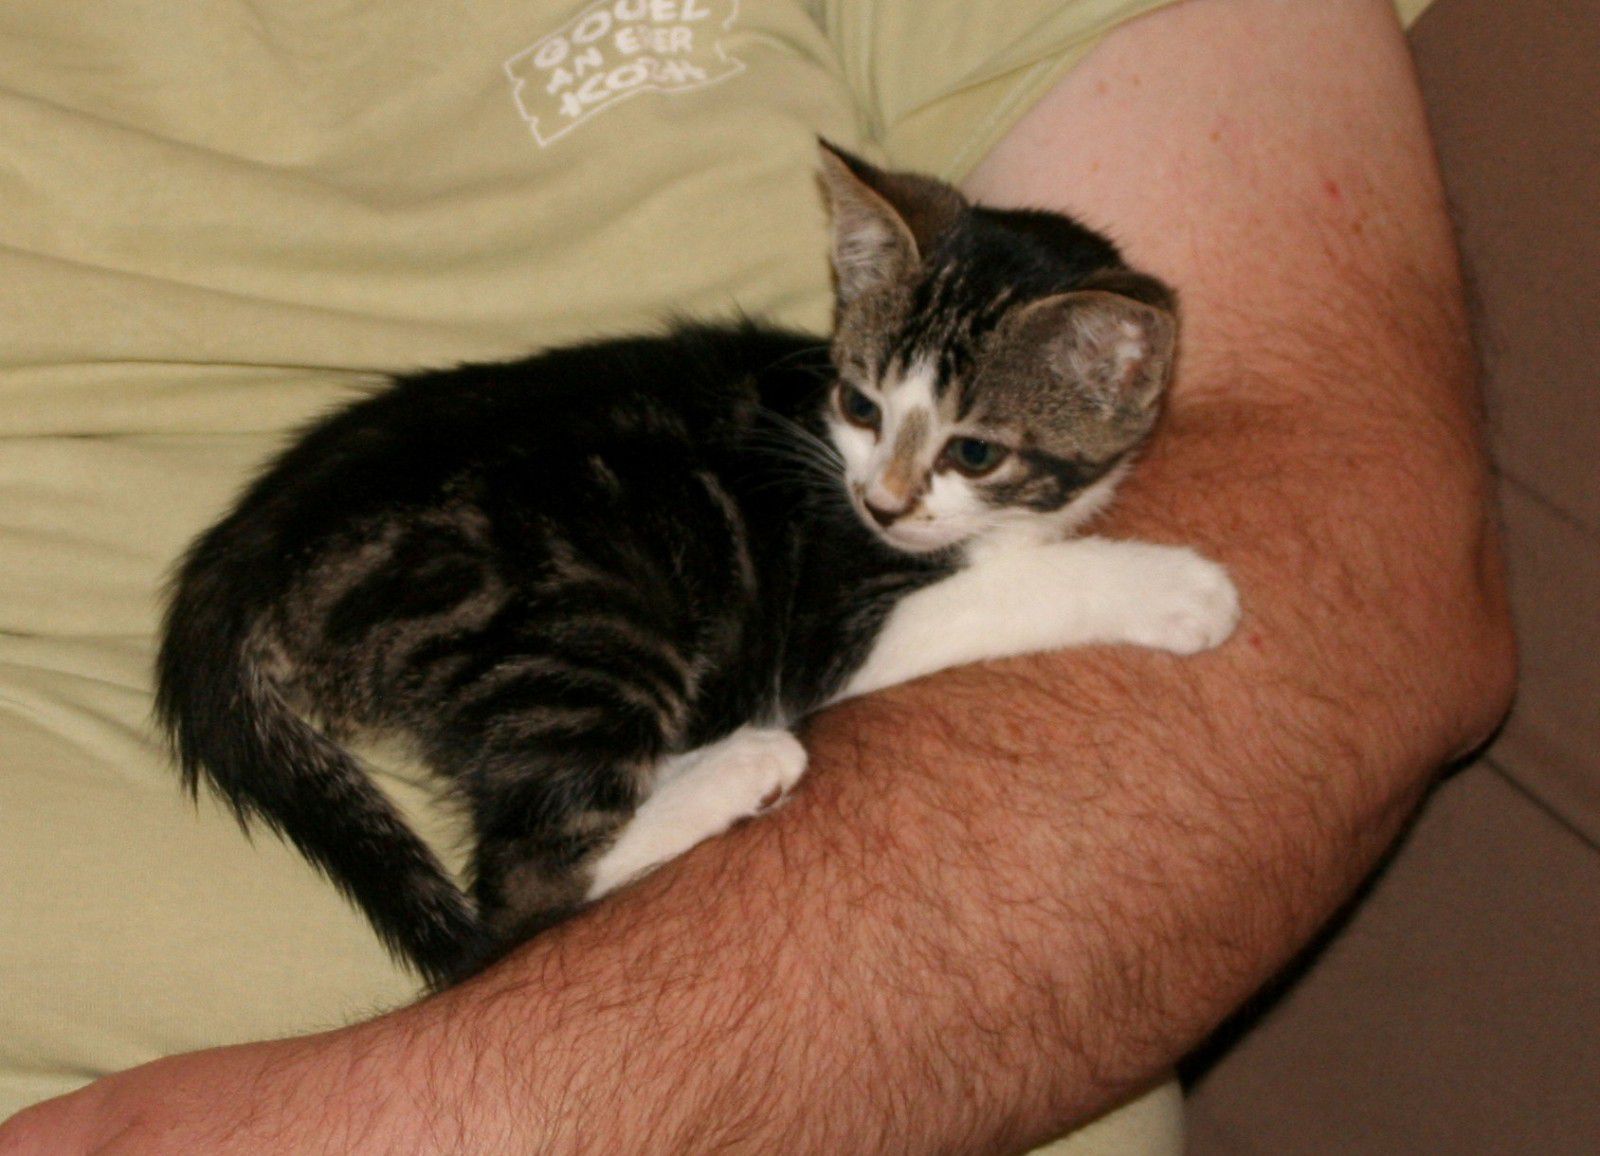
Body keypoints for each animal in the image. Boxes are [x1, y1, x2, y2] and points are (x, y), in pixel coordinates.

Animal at [156, 144, 1235, 986]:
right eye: (862, 404)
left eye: (973, 451)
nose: (882, 502)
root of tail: (248, 552)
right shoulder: (834, 620)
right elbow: (1003, 588)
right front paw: (1176, 587)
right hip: (595, 611)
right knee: (526, 892)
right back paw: (745, 762)